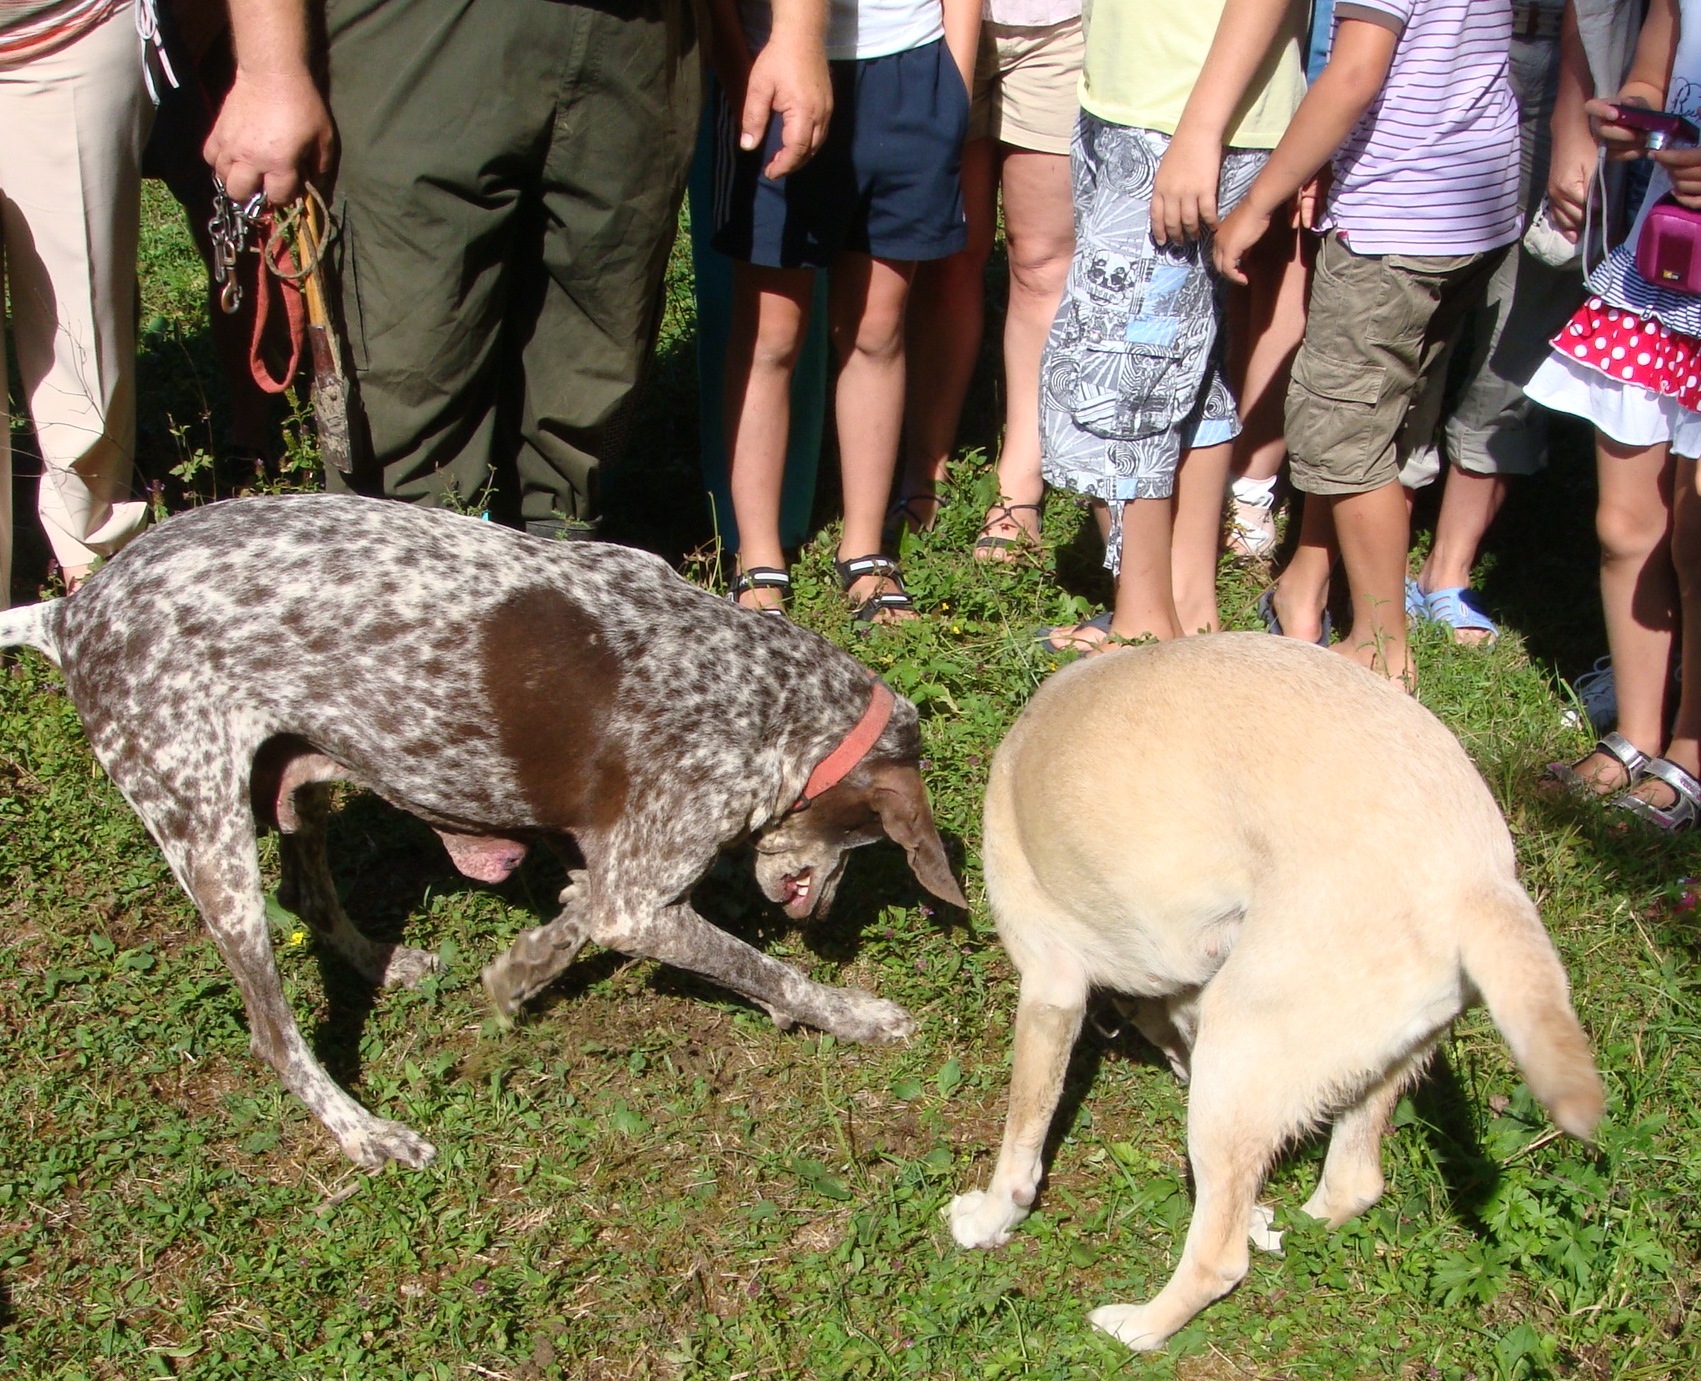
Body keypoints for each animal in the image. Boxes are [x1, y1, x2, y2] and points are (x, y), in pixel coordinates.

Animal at [0, 493, 966, 1163]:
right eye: (864, 847)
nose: (821, 912)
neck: (767, 696)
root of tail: (72, 611)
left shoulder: (624, 874)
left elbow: (577, 912)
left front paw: (518, 972)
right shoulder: (643, 894)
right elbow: (765, 972)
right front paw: (855, 1013)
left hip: (296, 775)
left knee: (309, 892)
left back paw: (384, 961)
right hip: (203, 825)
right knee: (274, 1031)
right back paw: (363, 1130)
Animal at [952, 632, 1598, 1346]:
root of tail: (1480, 884)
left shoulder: (1051, 985)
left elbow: (1022, 1138)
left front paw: (991, 1218)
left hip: (1233, 1065)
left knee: (1219, 1257)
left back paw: (1139, 1327)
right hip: (1365, 1066)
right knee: (1351, 1185)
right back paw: (1279, 1226)